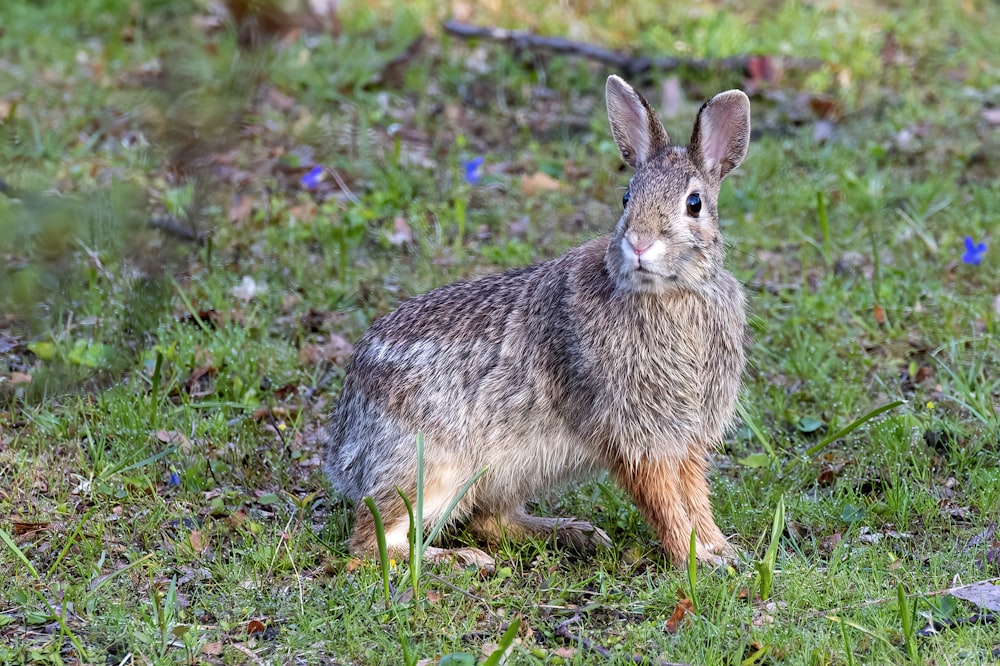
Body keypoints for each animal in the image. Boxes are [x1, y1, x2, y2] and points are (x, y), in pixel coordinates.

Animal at [328, 76, 752, 564]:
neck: (668, 294)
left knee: (487, 520)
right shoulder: (633, 432)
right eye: (627, 198)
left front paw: (718, 549)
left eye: (694, 204)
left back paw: (575, 533)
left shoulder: (684, 435)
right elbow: (663, 498)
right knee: (372, 542)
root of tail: (343, 443)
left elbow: (694, 493)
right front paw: (693, 557)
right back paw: (464, 559)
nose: (640, 243)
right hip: (433, 467)